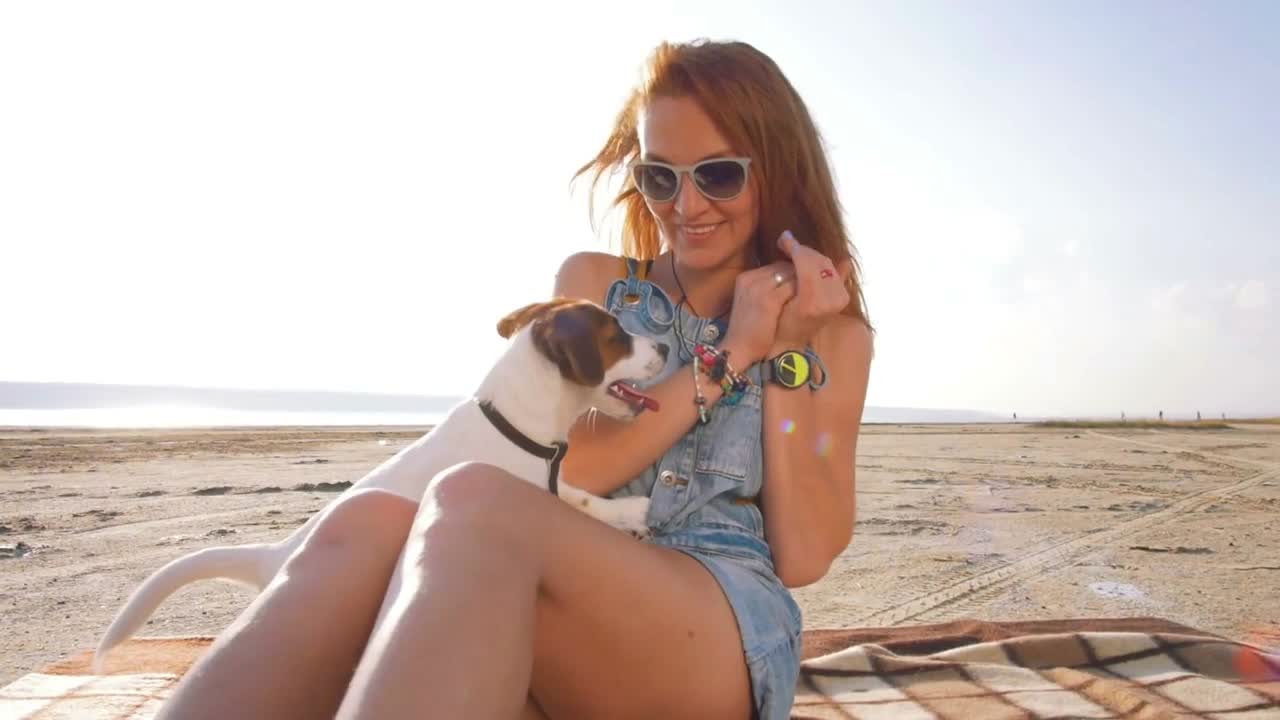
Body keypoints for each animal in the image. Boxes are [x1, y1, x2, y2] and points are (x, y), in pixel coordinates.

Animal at [93, 295, 665, 666]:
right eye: (618, 335)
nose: (662, 348)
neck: (517, 423)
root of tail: (274, 558)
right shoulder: (521, 494)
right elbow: (572, 505)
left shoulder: (551, 482)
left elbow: (579, 495)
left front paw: (626, 512)